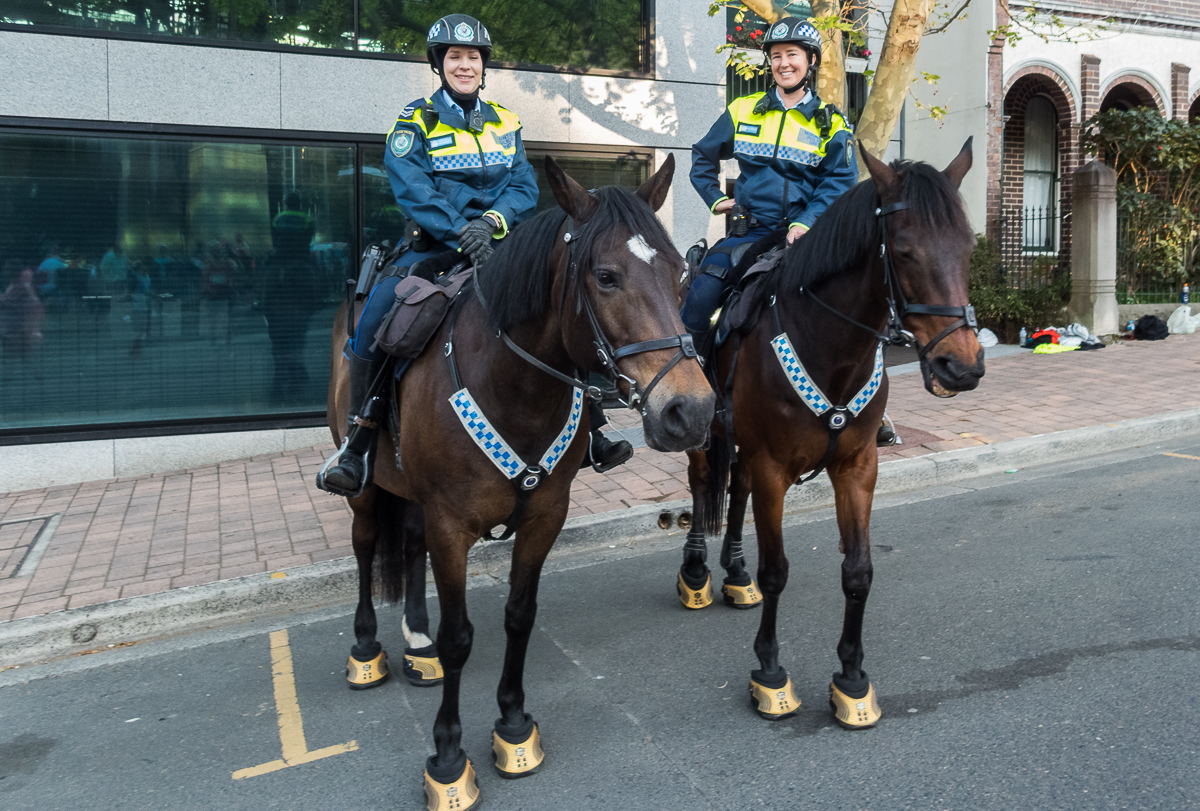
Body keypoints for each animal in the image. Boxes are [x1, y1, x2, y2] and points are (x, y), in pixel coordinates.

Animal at [326, 154, 710, 806]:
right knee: (364, 546)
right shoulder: (451, 525)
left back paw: (417, 643)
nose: (692, 411)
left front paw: (511, 726)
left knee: (407, 546)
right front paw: (448, 757)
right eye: (605, 276)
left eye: (682, 274)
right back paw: (367, 650)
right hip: (367, 488)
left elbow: (519, 615)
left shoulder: (543, 517)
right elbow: (460, 635)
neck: (510, 384)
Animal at [681, 139, 979, 724]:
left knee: (735, 487)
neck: (828, 345)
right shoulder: (774, 468)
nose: (961, 366)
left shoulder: (857, 467)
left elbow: (858, 571)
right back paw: (698, 571)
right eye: (904, 251)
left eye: (970, 247)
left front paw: (852, 678)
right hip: (703, 433)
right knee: (704, 483)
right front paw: (770, 672)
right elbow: (777, 570)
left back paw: (734, 574)